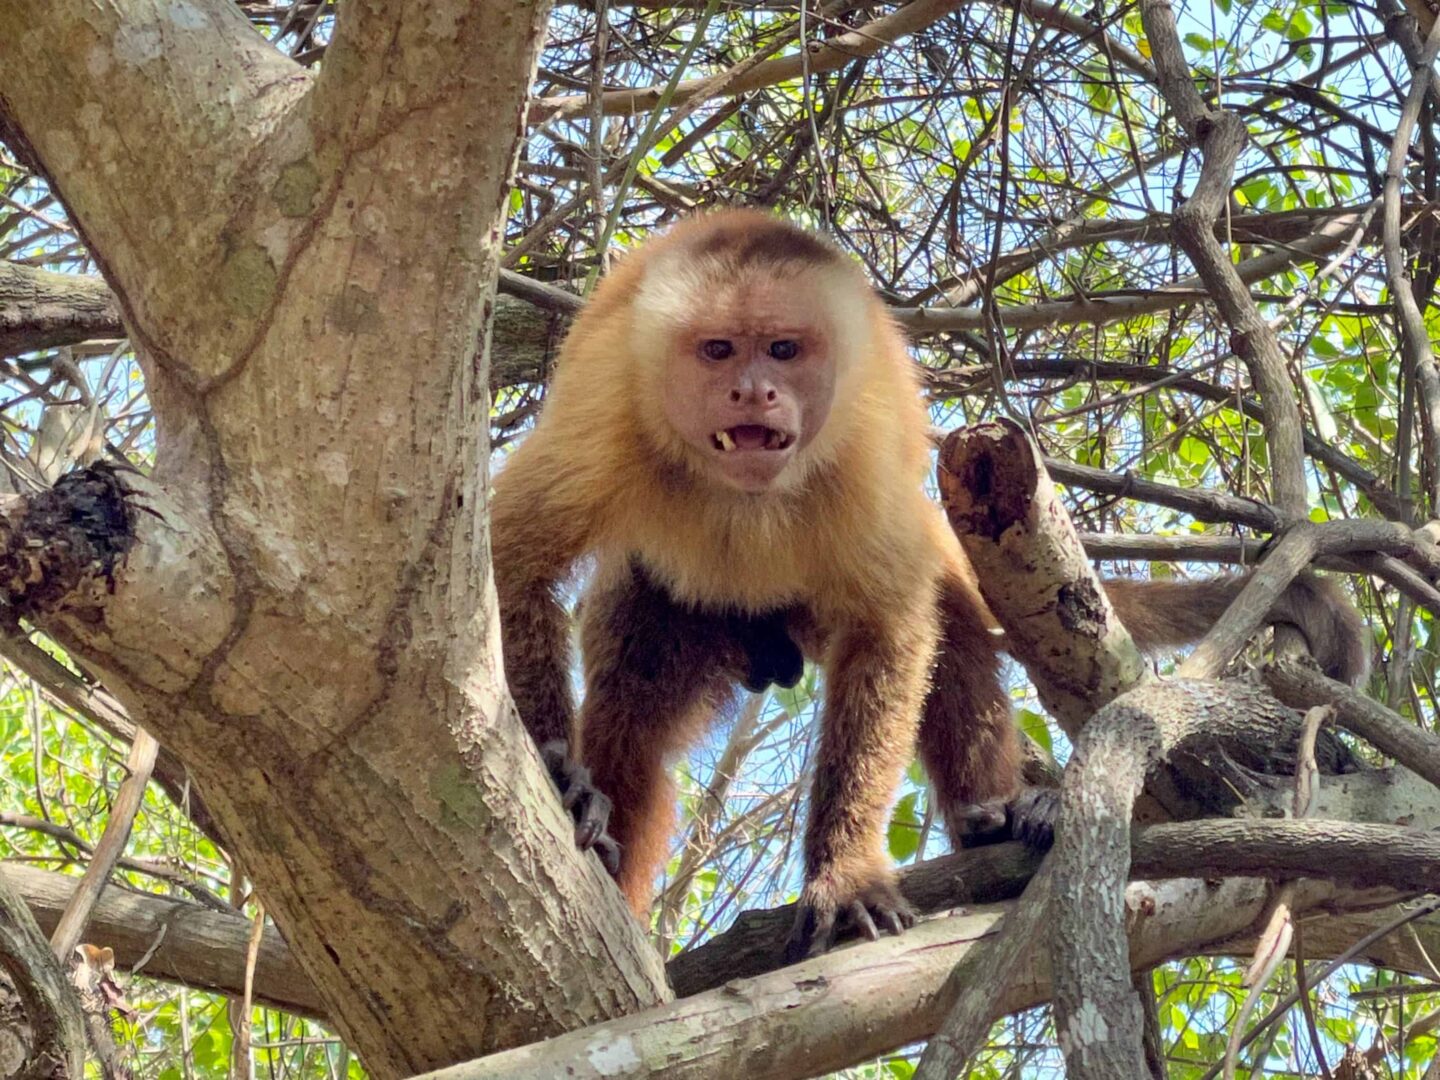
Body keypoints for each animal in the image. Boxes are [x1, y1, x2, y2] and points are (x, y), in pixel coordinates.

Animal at [490, 209, 1369, 960]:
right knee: (635, 714)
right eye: (718, 352)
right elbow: (510, 558)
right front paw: (559, 774)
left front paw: (844, 872)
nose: (752, 392)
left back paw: (997, 819)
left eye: (783, 351)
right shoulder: (610, 415)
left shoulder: (862, 454)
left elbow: (894, 631)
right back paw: (611, 854)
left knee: (945, 620)